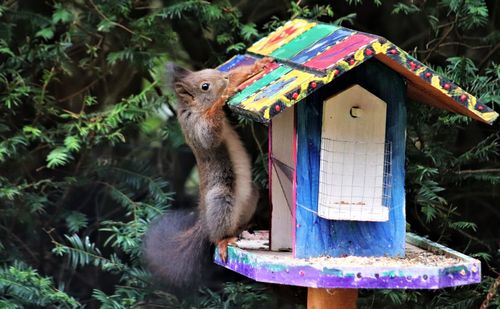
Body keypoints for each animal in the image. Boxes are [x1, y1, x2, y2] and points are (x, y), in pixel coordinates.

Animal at [141, 56, 274, 288]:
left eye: (214, 70)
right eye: (205, 86)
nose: (224, 77)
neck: (195, 108)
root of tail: (204, 224)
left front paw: (255, 67)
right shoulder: (197, 127)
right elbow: (210, 134)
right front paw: (221, 99)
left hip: (251, 195)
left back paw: (246, 228)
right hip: (221, 197)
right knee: (216, 236)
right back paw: (224, 240)